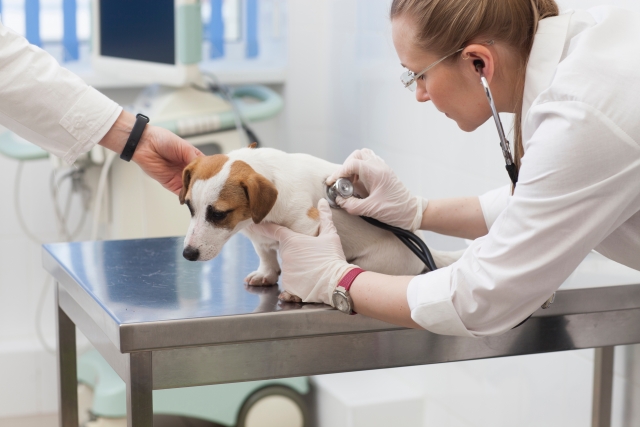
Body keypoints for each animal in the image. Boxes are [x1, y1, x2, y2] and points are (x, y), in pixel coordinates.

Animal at [178, 149, 462, 302]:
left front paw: (296, 291)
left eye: (218, 214)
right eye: (189, 207)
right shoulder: (259, 238)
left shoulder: (306, 226)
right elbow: (266, 256)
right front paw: (266, 274)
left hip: (375, 264)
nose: (187, 254)